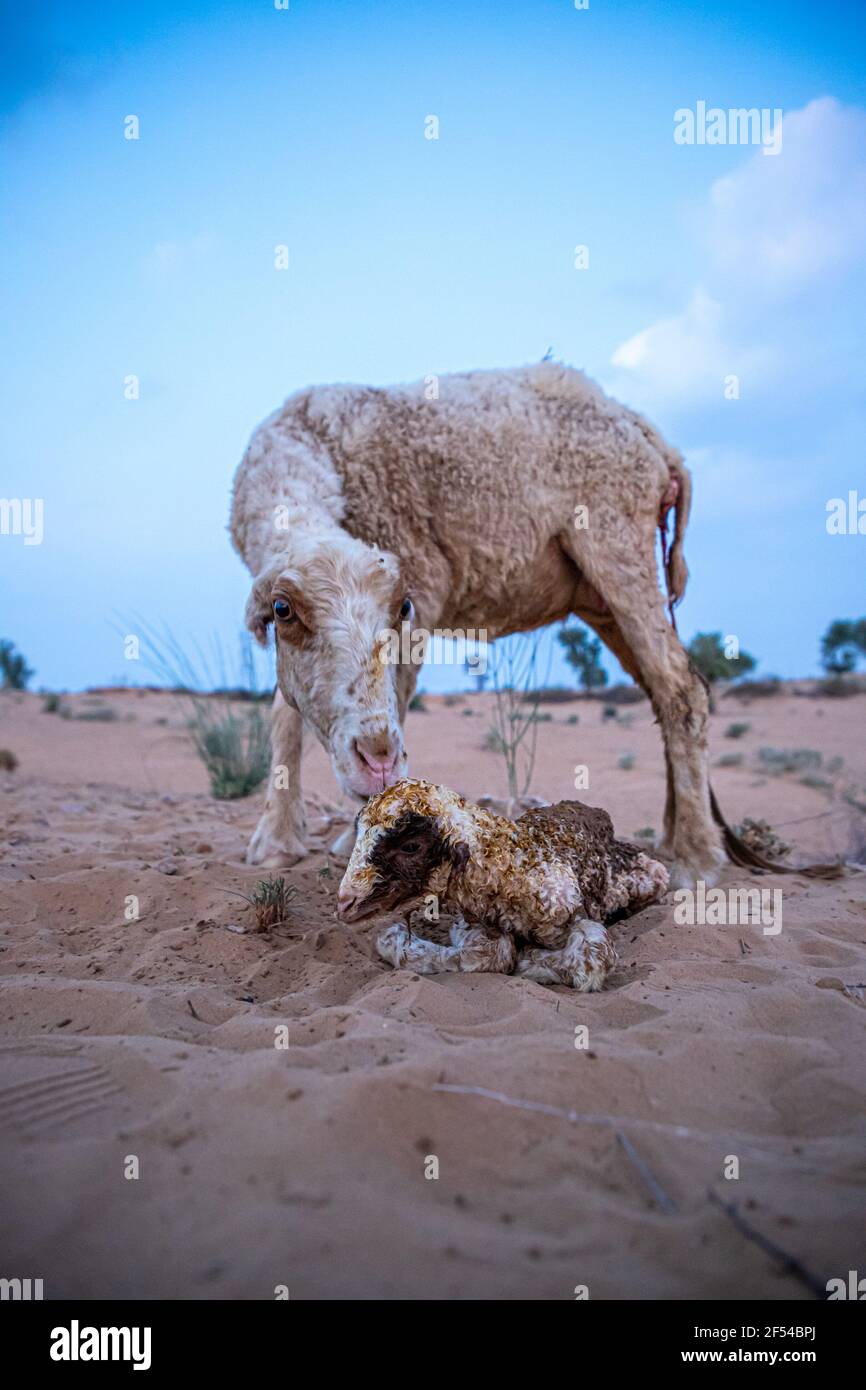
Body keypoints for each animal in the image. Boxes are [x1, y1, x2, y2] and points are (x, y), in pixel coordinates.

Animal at [229, 358, 717, 878]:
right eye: (283, 610)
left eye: (401, 607)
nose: (377, 760)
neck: (311, 438)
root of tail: (651, 436)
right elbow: (285, 711)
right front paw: (276, 839)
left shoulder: (421, 577)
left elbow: (396, 694)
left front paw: (359, 830)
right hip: (601, 595)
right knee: (660, 691)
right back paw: (674, 834)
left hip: (616, 539)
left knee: (681, 688)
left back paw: (697, 856)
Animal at [335, 783, 667, 989]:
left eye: (411, 846)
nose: (344, 903)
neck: (514, 865)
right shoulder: (475, 919)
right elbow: (494, 952)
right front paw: (396, 942)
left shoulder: (573, 914)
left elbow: (591, 961)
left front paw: (532, 961)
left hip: (652, 876)